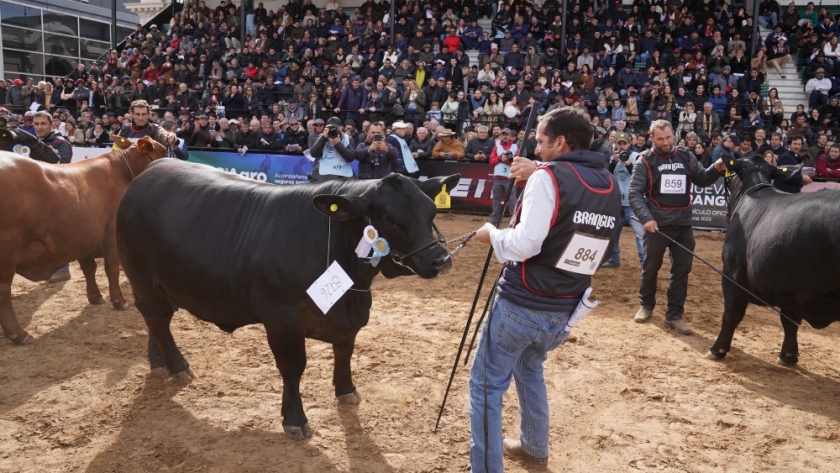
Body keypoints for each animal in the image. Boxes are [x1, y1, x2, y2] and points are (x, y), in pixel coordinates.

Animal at [0, 133, 169, 342]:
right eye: (163, 151)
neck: (122, 172)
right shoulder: (111, 237)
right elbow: (111, 269)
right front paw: (119, 301)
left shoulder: (83, 237)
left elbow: (89, 268)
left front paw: (95, 297)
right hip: (7, 252)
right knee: (3, 291)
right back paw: (18, 334)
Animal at [712, 156, 840, 366]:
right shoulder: (792, 289)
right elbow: (789, 321)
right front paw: (788, 356)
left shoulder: (732, 273)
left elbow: (731, 314)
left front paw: (718, 349)